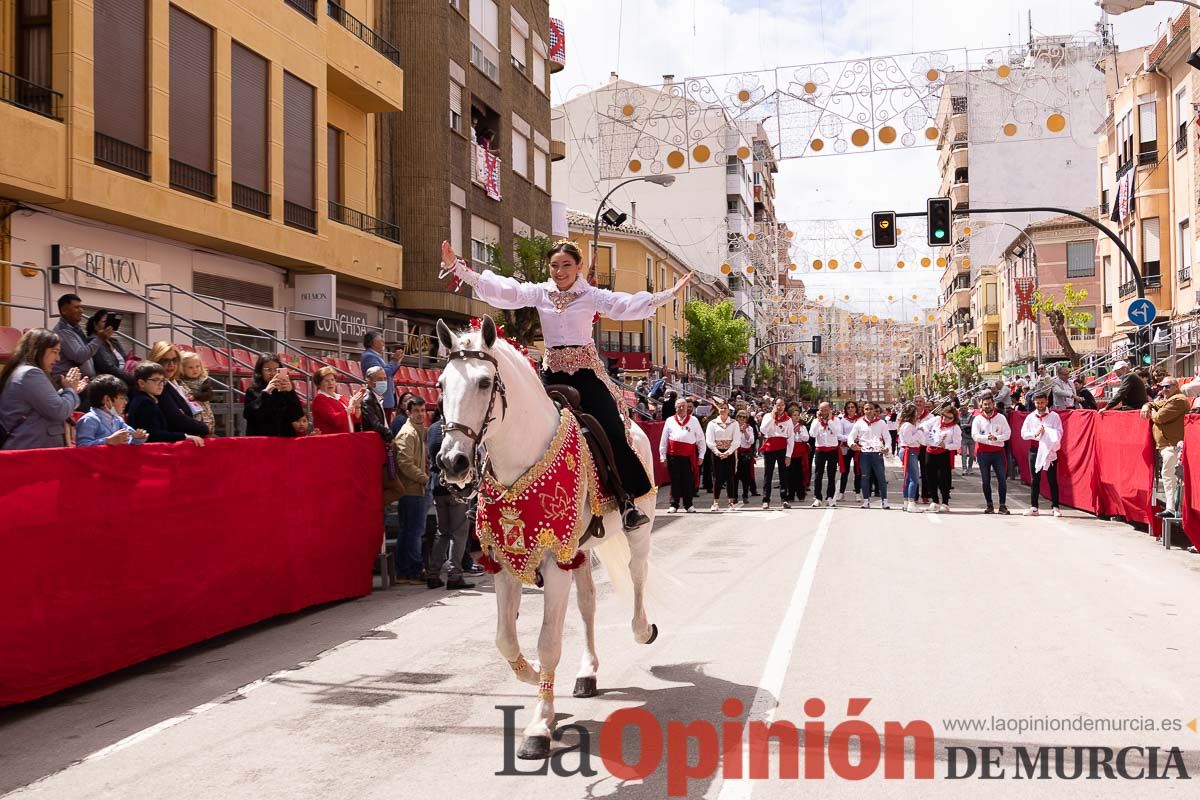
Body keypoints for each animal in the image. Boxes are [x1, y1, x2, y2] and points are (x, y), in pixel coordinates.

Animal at [436, 316, 657, 762]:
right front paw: (535, 680)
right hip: (584, 548)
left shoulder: (554, 563)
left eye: (485, 382)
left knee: (637, 573)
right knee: (588, 604)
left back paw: (642, 629)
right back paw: (587, 673)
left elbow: (548, 641)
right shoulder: (506, 562)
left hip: (639, 525)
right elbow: (505, 639)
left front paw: (540, 725)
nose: (453, 462)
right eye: (441, 383)